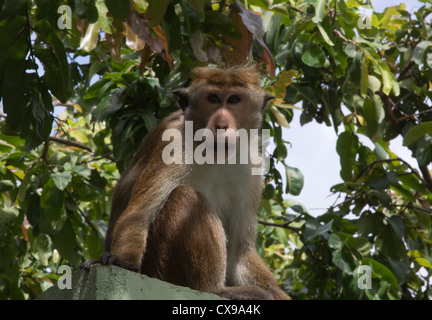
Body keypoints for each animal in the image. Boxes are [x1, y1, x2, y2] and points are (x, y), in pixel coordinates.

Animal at [82, 64, 288, 300]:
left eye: (234, 100)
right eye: (213, 98)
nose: (221, 124)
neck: (214, 153)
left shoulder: (250, 165)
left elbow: (240, 252)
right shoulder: (172, 142)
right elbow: (138, 216)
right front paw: (120, 262)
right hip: (159, 267)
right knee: (184, 196)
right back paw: (215, 289)